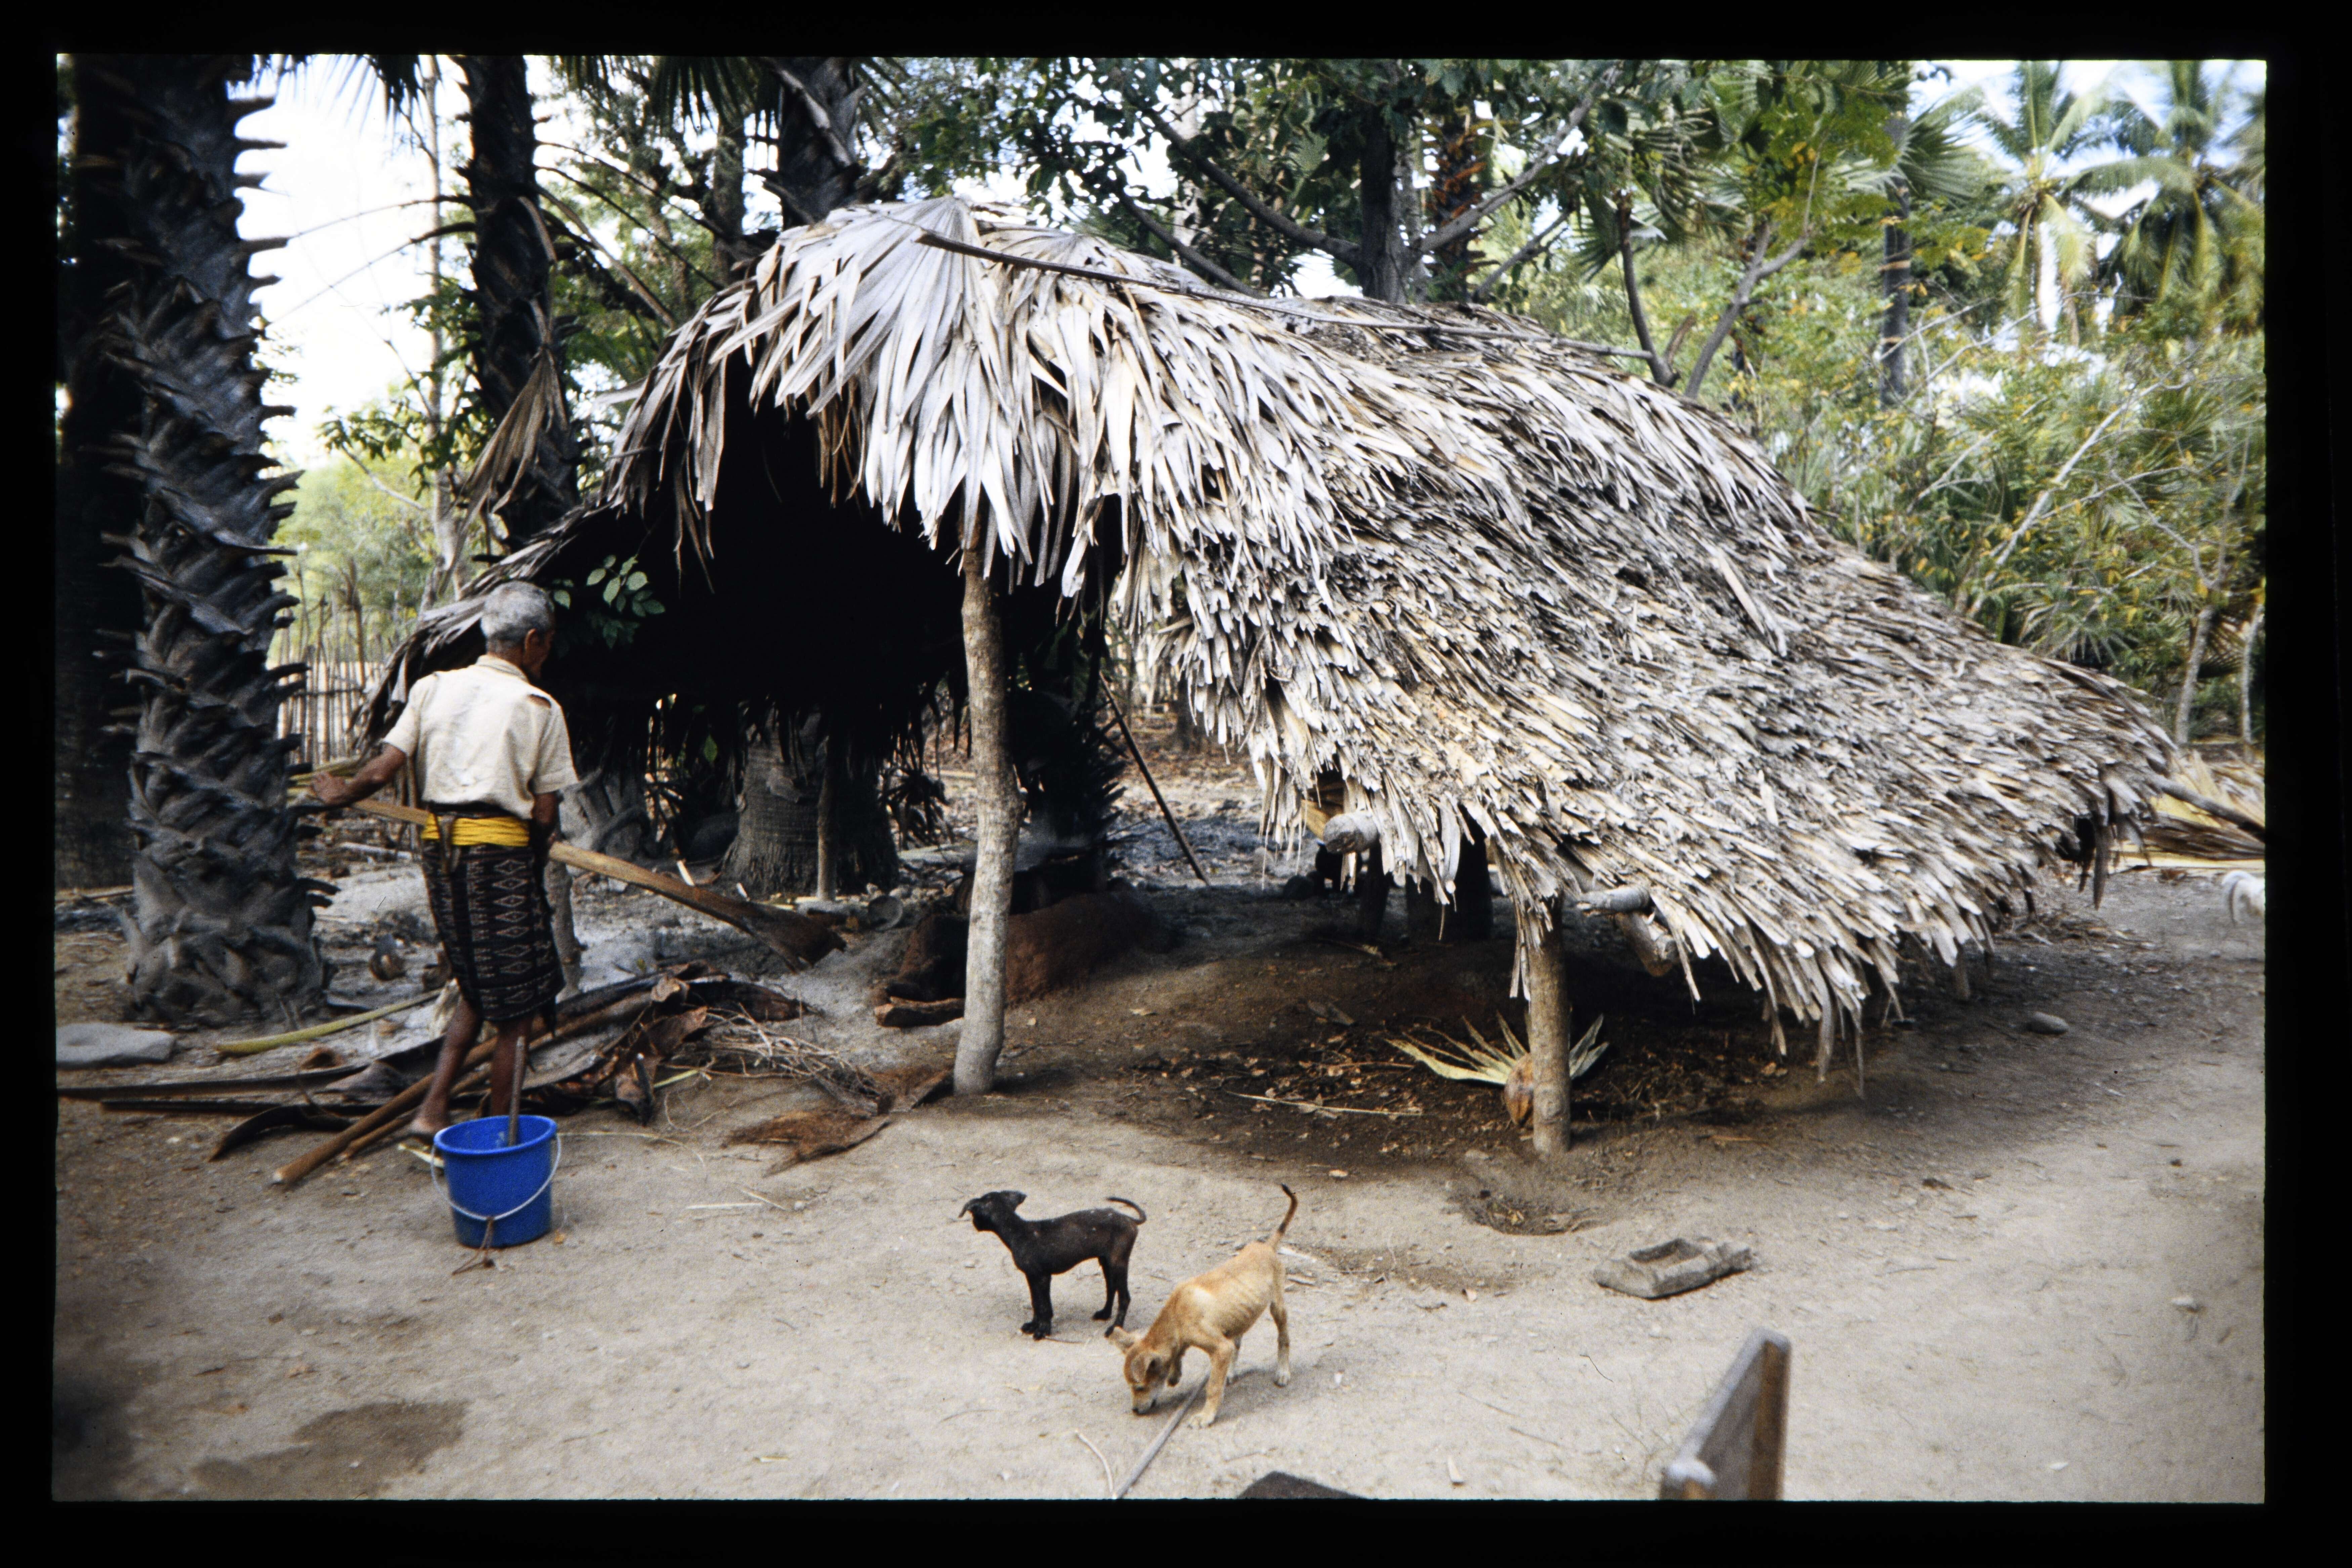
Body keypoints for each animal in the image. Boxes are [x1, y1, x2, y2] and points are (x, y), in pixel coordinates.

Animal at [958, 1191, 1147, 1339]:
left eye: (974, 1213)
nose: (974, 1225)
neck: (1018, 1231)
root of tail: (1130, 1219)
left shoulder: (1043, 1278)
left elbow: (1045, 1307)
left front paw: (1043, 1330)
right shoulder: (1032, 1277)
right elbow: (1036, 1303)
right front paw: (1034, 1325)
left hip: (1118, 1263)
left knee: (1125, 1298)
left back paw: (1115, 1328)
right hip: (1106, 1262)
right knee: (1111, 1288)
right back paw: (1105, 1314)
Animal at [1109, 1185, 1296, 1429]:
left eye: (1140, 1387)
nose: (1135, 1411)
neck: (1176, 1315)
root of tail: (1267, 1246)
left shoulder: (1220, 1348)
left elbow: (1213, 1387)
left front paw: (1206, 1416)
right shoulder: (1207, 1342)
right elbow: (1178, 1355)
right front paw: (1175, 1374)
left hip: (1278, 1307)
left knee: (1283, 1339)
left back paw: (1283, 1372)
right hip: (1238, 1317)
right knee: (1238, 1343)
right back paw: (1231, 1372)